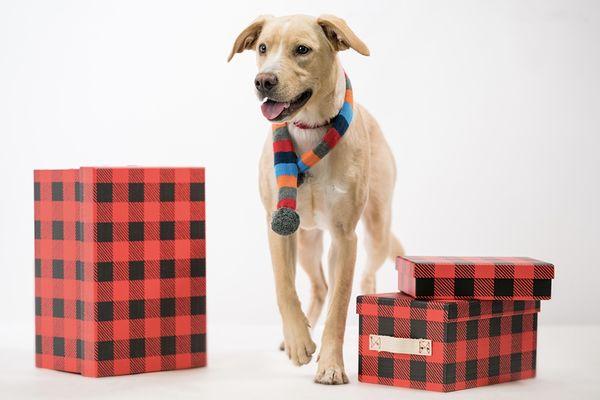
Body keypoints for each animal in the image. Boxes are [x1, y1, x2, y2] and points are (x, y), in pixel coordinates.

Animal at [227, 14, 406, 384]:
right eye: (262, 48)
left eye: (302, 50)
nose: (263, 81)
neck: (309, 131)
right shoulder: (278, 226)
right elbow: (284, 286)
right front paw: (299, 341)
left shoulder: (345, 237)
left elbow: (339, 306)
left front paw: (331, 364)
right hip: (307, 241)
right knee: (320, 285)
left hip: (376, 229)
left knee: (361, 278)